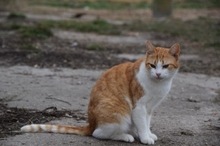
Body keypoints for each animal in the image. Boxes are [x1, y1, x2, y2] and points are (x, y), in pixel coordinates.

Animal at [20, 40, 180, 144]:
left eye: (165, 66)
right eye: (152, 65)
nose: (158, 74)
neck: (157, 84)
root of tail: (91, 123)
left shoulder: (149, 108)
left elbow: (146, 123)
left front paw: (148, 134)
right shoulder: (139, 107)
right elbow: (142, 124)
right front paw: (145, 138)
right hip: (120, 113)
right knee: (98, 134)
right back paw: (125, 136)